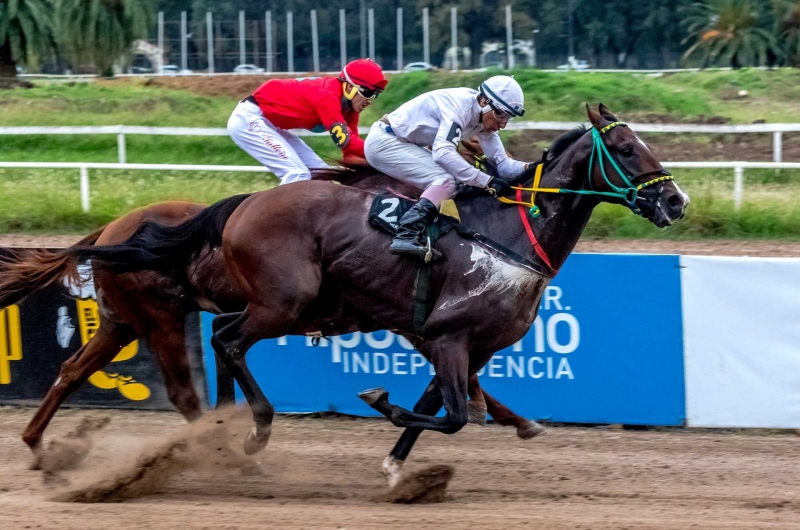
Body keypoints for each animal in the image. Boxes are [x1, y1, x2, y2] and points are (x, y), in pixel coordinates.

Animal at [64, 105, 688, 488]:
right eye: (626, 148)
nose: (675, 201)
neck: (511, 235)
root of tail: (243, 205)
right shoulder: (448, 336)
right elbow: (453, 414)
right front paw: (379, 401)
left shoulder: (468, 346)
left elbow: (440, 406)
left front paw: (396, 468)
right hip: (281, 302)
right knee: (228, 342)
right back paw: (253, 431)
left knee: (220, 340)